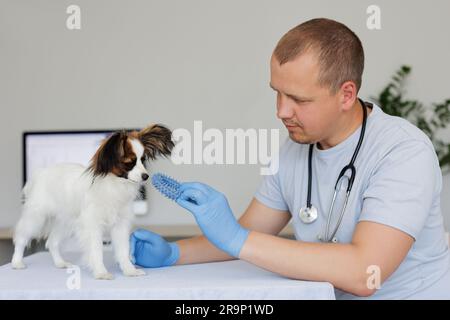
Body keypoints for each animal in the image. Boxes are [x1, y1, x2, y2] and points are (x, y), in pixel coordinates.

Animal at [11, 124, 174, 278]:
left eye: (143, 161)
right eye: (129, 162)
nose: (146, 176)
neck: (114, 184)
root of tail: (40, 173)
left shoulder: (120, 225)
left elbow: (123, 250)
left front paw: (130, 270)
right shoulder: (92, 225)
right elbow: (96, 250)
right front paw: (101, 273)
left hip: (65, 222)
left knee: (52, 242)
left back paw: (60, 263)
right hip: (37, 217)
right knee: (21, 238)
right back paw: (17, 262)